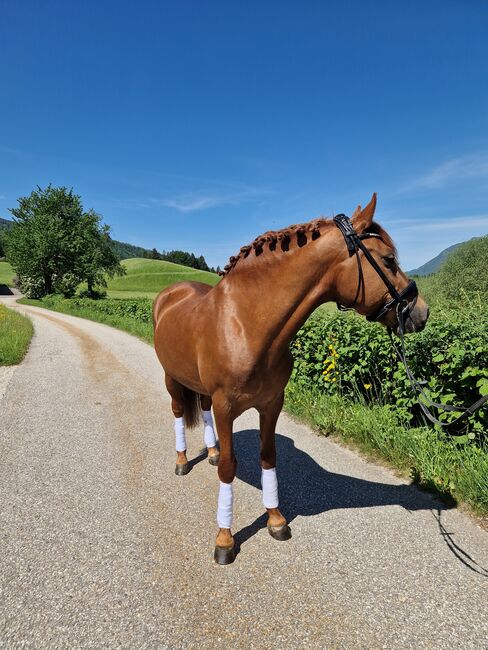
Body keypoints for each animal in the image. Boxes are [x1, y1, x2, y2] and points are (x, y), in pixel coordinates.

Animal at [152, 192, 428, 560]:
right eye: (388, 260)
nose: (421, 312)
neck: (245, 324)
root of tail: (170, 293)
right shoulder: (227, 407)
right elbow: (229, 467)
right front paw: (224, 539)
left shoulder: (272, 404)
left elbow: (268, 457)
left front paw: (275, 519)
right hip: (171, 378)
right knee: (179, 412)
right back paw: (183, 460)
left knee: (204, 412)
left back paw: (209, 452)